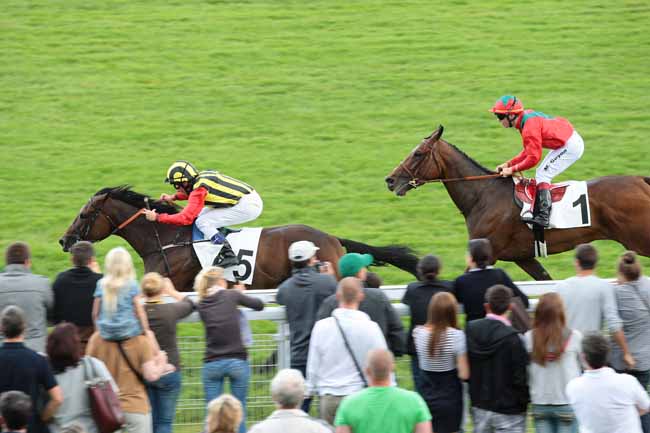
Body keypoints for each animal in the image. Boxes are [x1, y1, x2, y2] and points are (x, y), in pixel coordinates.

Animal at [382, 125, 648, 280]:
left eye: (418, 153)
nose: (390, 180)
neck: (483, 195)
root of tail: (640, 180)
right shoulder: (524, 257)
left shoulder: (487, 253)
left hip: (639, 239)